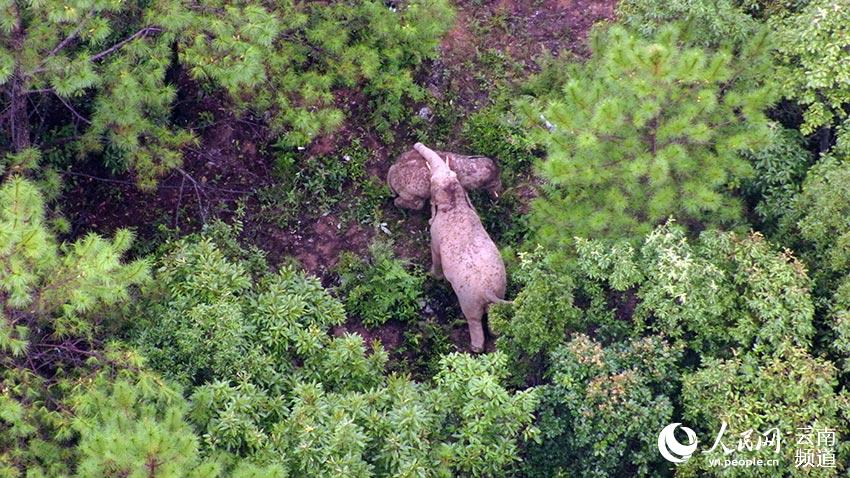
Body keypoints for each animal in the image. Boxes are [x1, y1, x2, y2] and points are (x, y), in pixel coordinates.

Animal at [416, 142, 506, 352]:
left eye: (431, 181)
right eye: (453, 174)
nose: (417, 145)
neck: (454, 202)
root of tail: (489, 291)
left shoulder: (436, 234)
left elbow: (435, 253)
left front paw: (432, 276)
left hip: (469, 299)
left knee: (473, 319)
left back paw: (475, 348)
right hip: (500, 288)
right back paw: (495, 334)